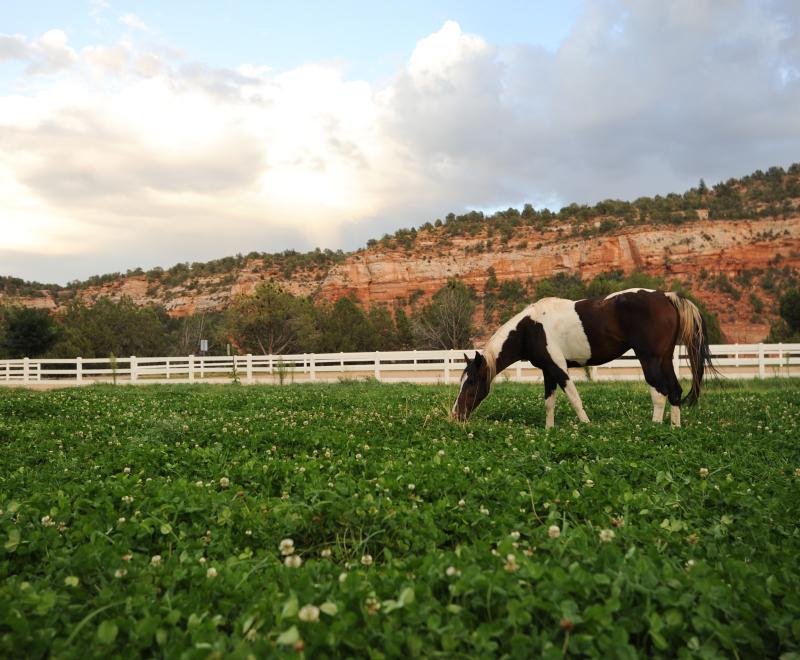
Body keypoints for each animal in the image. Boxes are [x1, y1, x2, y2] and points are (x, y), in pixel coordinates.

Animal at [454, 288, 716, 428]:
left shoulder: (559, 368)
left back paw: (654, 427)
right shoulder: (548, 370)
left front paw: (586, 426)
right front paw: (549, 430)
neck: (530, 328)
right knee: (674, 391)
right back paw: (674, 428)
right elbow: (549, 403)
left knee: (660, 392)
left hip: (649, 359)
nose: (456, 415)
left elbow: (574, 399)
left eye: (471, 382)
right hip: (664, 359)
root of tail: (666, 296)